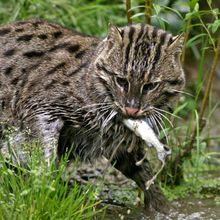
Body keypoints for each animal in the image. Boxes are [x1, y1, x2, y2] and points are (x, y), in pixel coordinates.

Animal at [0, 20, 185, 211]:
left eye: (150, 86)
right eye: (121, 81)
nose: (131, 110)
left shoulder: (118, 144)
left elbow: (144, 172)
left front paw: (163, 208)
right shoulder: (37, 105)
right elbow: (45, 152)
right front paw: (43, 191)